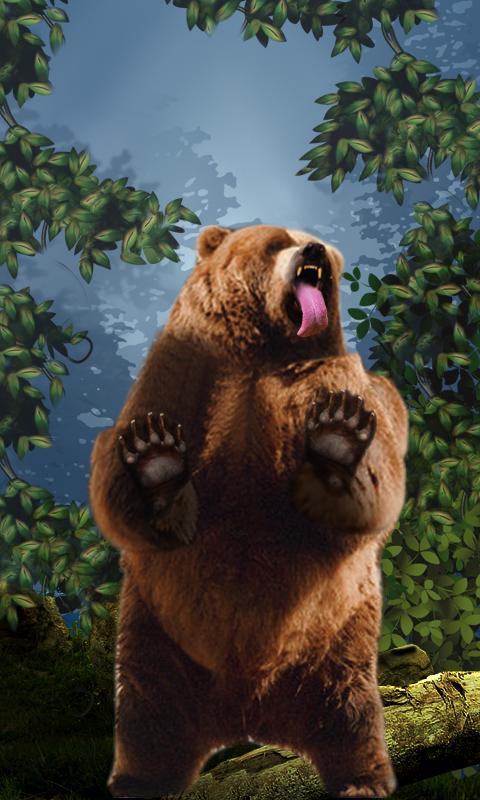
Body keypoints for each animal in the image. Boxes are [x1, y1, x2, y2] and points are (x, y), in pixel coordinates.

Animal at [89, 224, 408, 799]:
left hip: (336, 644)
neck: (264, 353)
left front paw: (339, 439)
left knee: (350, 711)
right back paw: (140, 779)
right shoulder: (184, 370)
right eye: (277, 240)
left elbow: (376, 474)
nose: (314, 251)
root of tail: (246, 714)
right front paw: (153, 458)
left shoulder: (334, 382)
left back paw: (363, 778)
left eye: (318, 243)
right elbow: (128, 460)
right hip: (158, 638)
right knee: (149, 710)